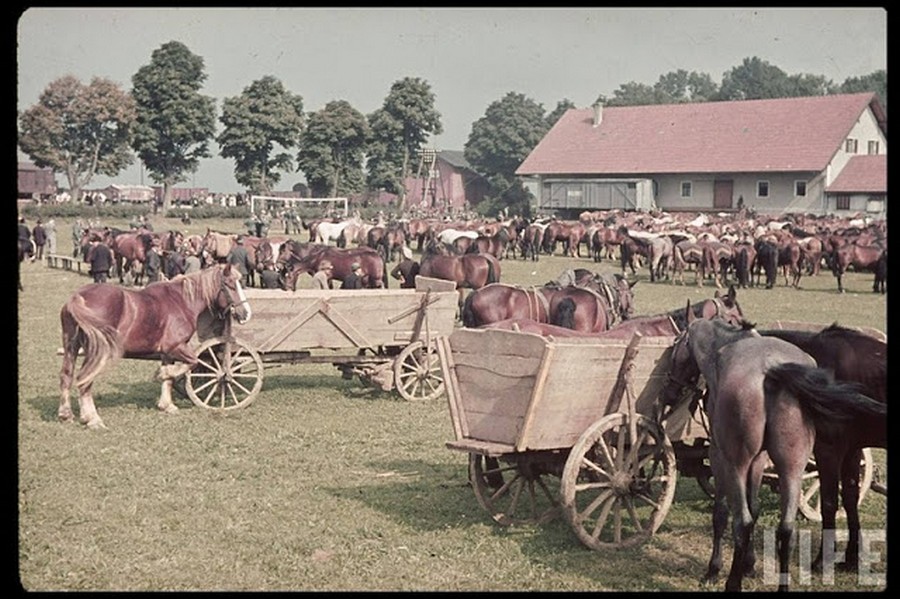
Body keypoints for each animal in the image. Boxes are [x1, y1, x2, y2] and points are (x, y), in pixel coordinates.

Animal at [59, 264, 250, 428]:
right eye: (231, 285)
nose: (246, 313)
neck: (181, 301)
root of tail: (78, 298)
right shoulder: (176, 347)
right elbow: (192, 363)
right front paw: (161, 374)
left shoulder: (167, 352)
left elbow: (170, 379)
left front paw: (166, 404)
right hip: (96, 353)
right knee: (85, 380)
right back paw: (92, 419)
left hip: (71, 347)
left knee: (66, 376)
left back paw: (66, 414)